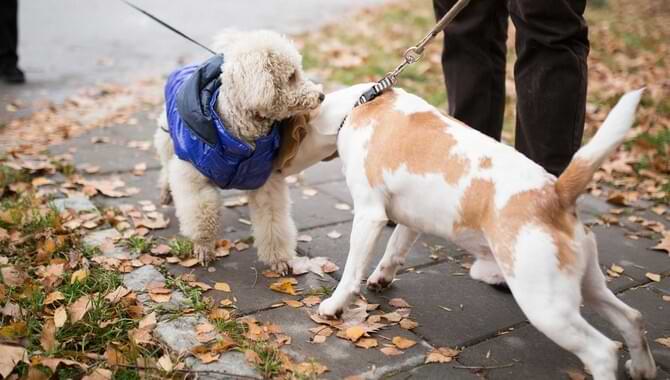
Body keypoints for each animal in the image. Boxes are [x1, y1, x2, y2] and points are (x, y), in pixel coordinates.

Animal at [280, 85, 660, 380]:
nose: (277, 169)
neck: (360, 105)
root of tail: (554, 192)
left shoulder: (369, 215)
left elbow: (351, 272)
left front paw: (334, 307)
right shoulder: (409, 221)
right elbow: (394, 250)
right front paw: (381, 279)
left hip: (546, 307)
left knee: (602, 351)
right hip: (588, 287)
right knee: (632, 318)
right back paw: (643, 368)